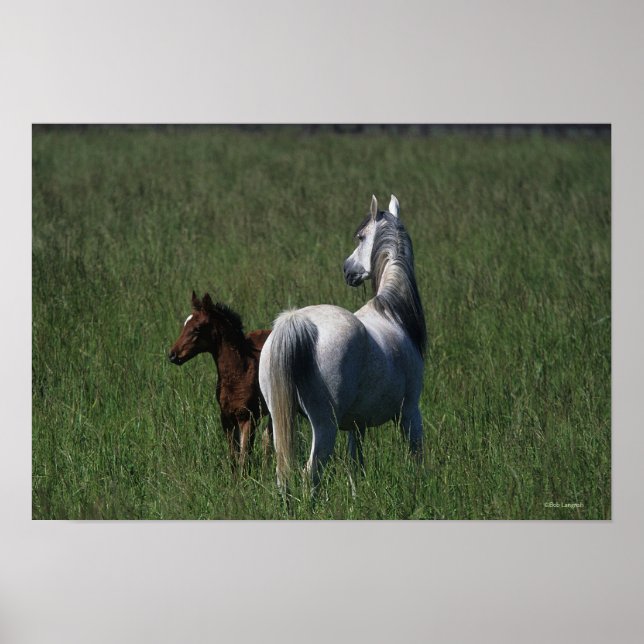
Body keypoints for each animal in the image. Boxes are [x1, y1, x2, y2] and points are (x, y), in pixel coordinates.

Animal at [168, 292, 272, 471]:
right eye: (185, 324)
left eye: (197, 328)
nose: (173, 355)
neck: (240, 372)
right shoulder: (227, 418)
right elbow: (233, 459)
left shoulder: (249, 418)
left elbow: (244, 458)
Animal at [258, 194, 427, 493]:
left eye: (360, 237)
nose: (347, 270)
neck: (392, 312)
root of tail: (297, 321)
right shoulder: (410, 413)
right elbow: (416, 458)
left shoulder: (356, 425)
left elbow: (355, 467)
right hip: (325, 426)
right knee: (309, 475)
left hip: (280, 420)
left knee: (283, 475)